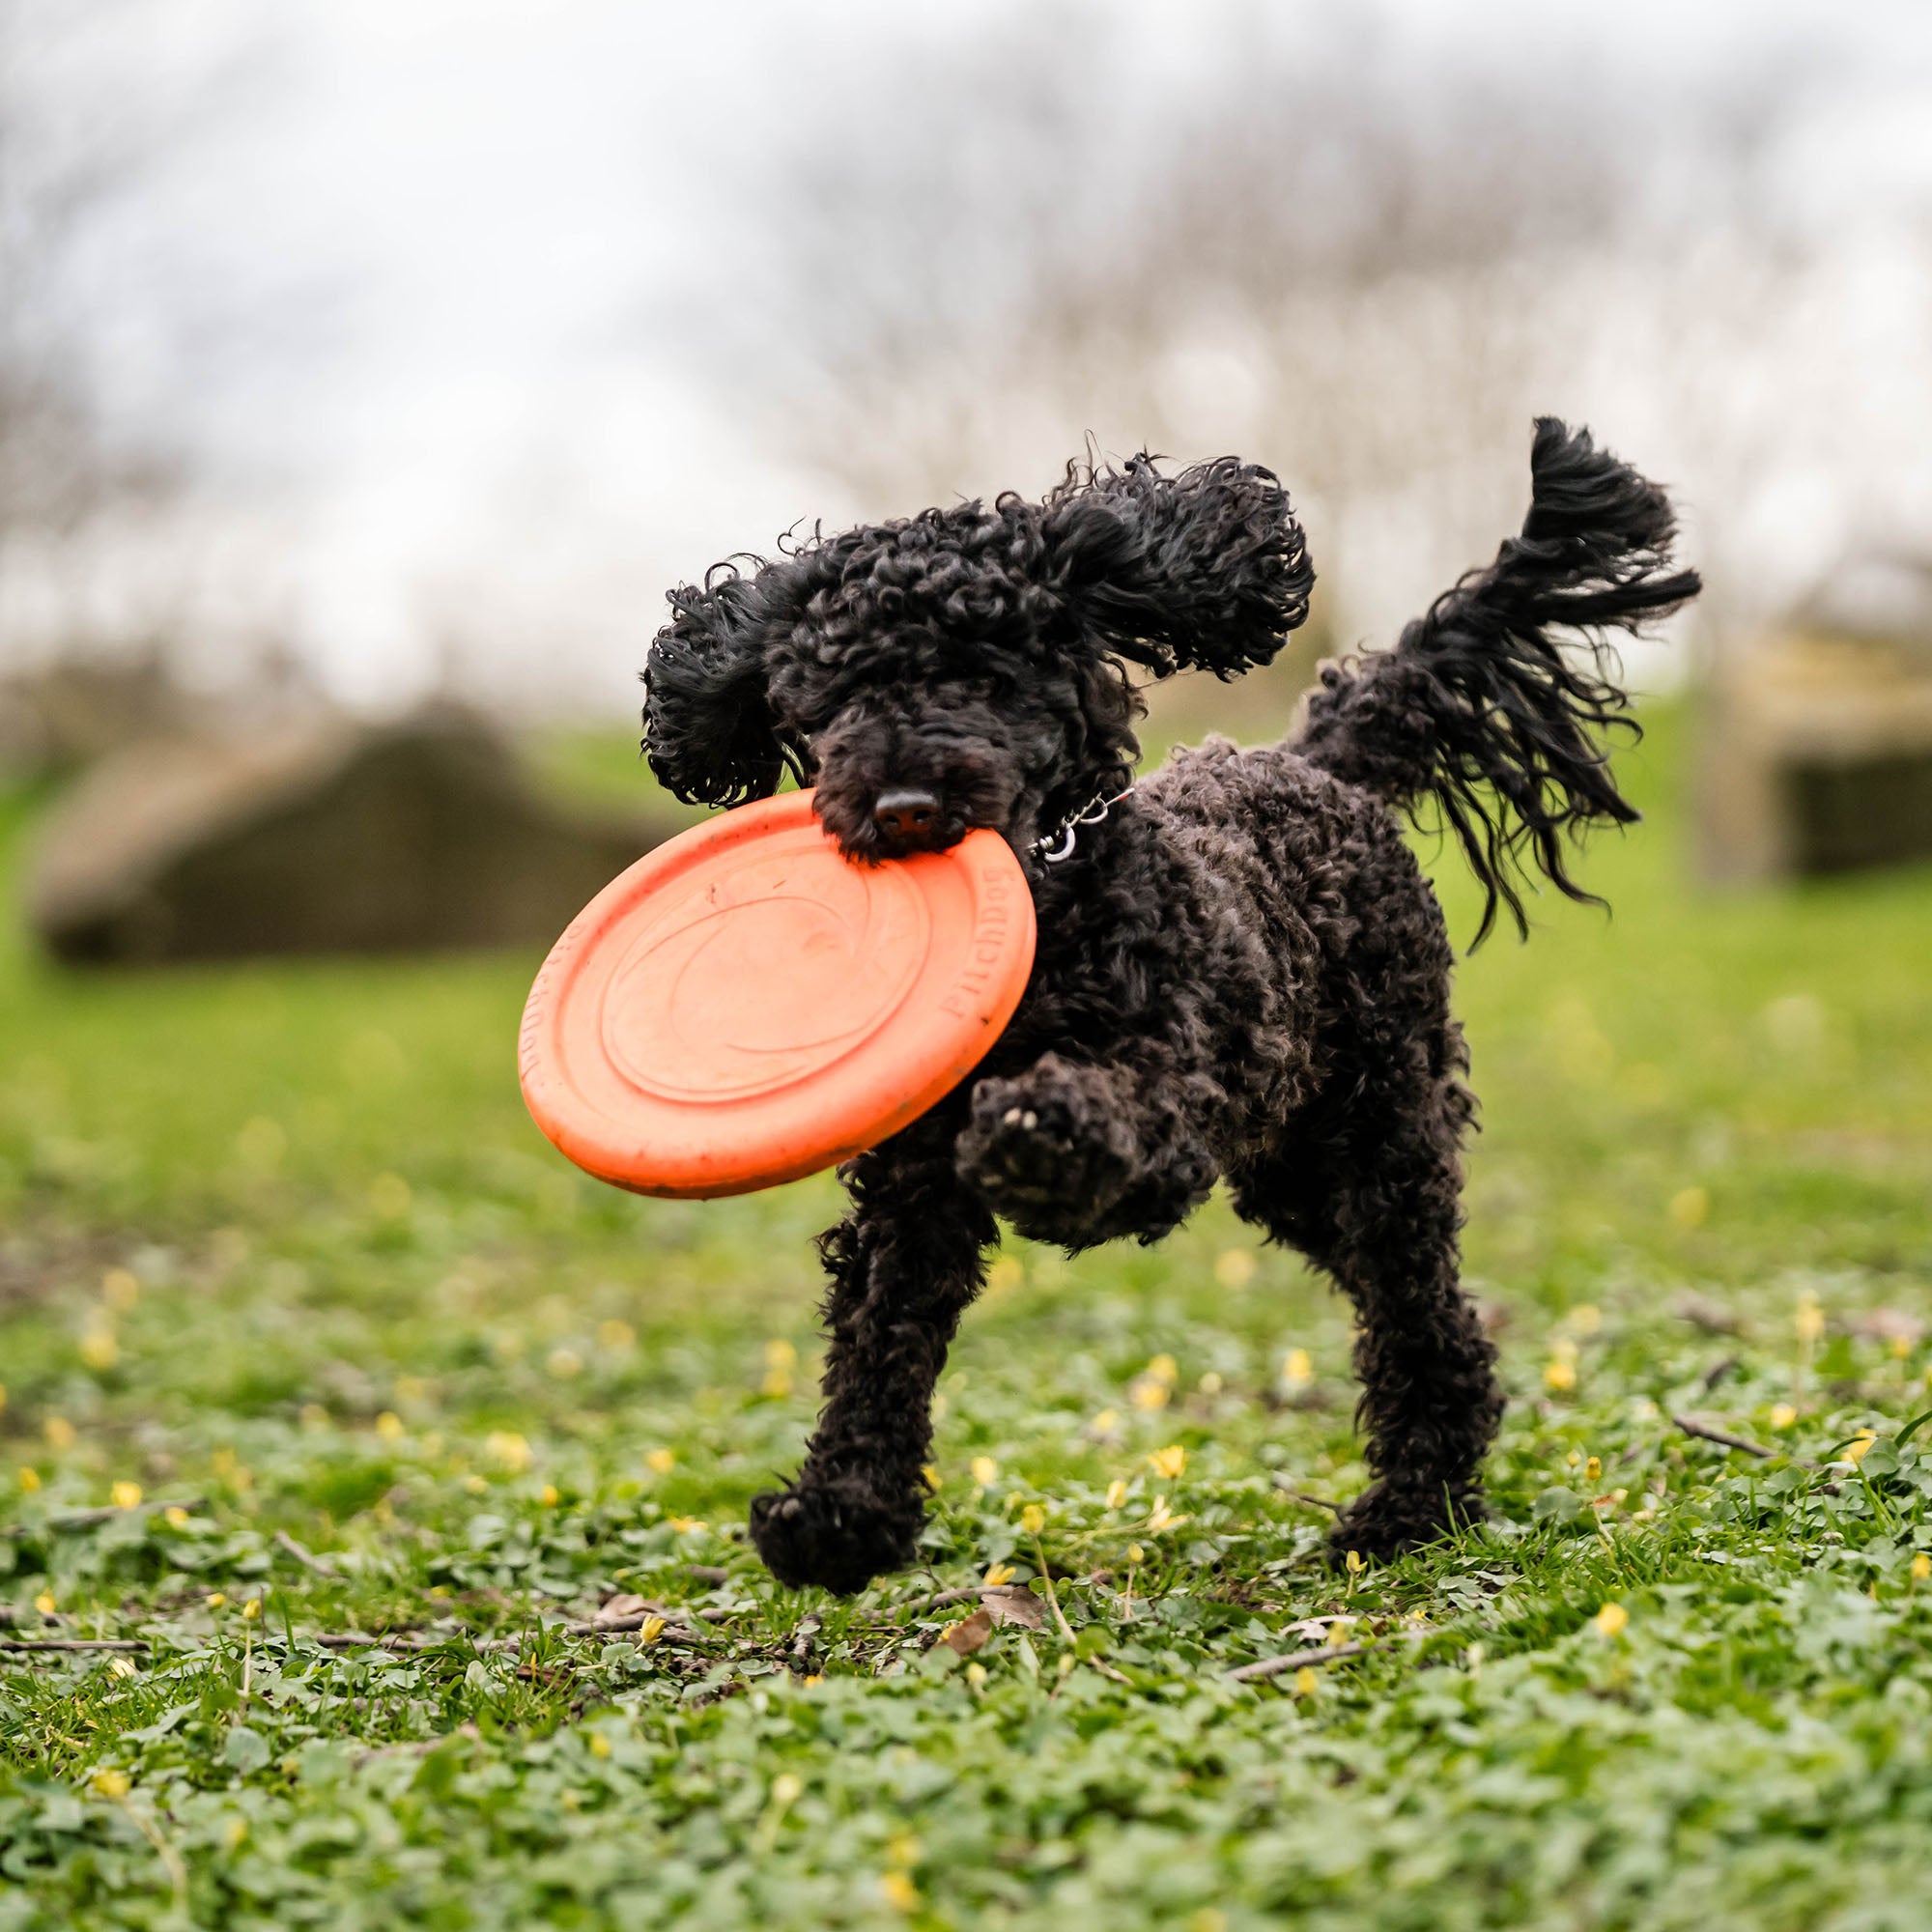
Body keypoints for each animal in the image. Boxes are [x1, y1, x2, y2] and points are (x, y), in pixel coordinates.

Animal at [645, 419, 1692, 1584]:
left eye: (984, 672)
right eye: (831, 698)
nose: (902, 804)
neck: (1051, 911)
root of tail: (1312, 763)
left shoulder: (1168, 1117)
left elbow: (1100, 1120)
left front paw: (1039, 1130)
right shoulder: (908, 1190)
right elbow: (878, 1343)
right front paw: (837, 1519)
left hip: (1381, 1126)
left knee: (1414, 1300)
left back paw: (1412, 1506)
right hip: (1296, 1169)